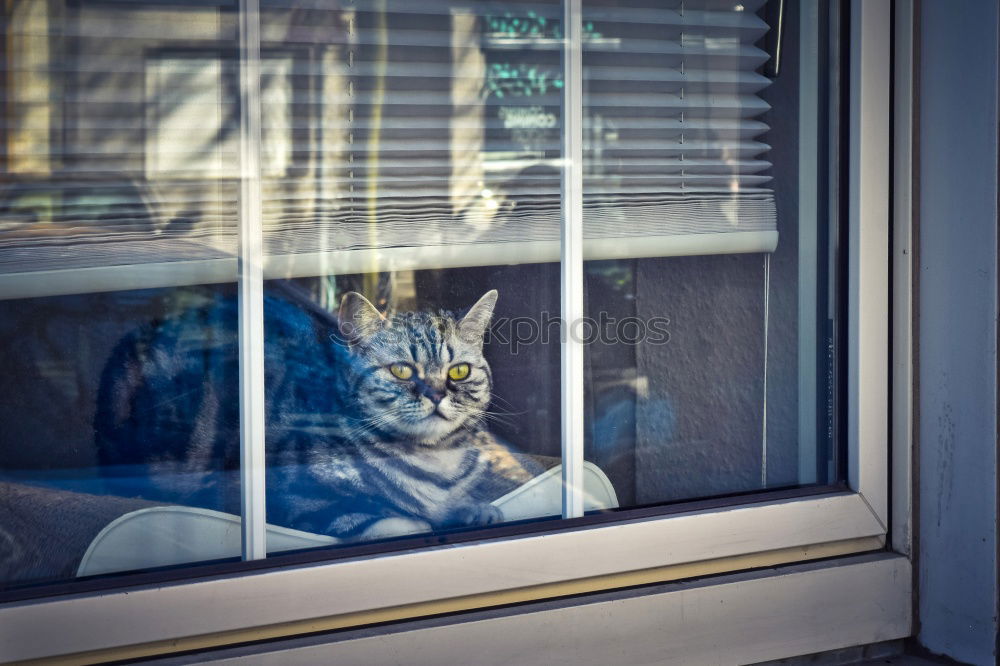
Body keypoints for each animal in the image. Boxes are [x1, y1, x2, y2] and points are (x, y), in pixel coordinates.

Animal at [96, 282, 544, 544]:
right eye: (401, 370)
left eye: (459, 371)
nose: (435, 393)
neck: (436, 462)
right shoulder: (293, 495)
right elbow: (399, 520)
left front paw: (474, 510)